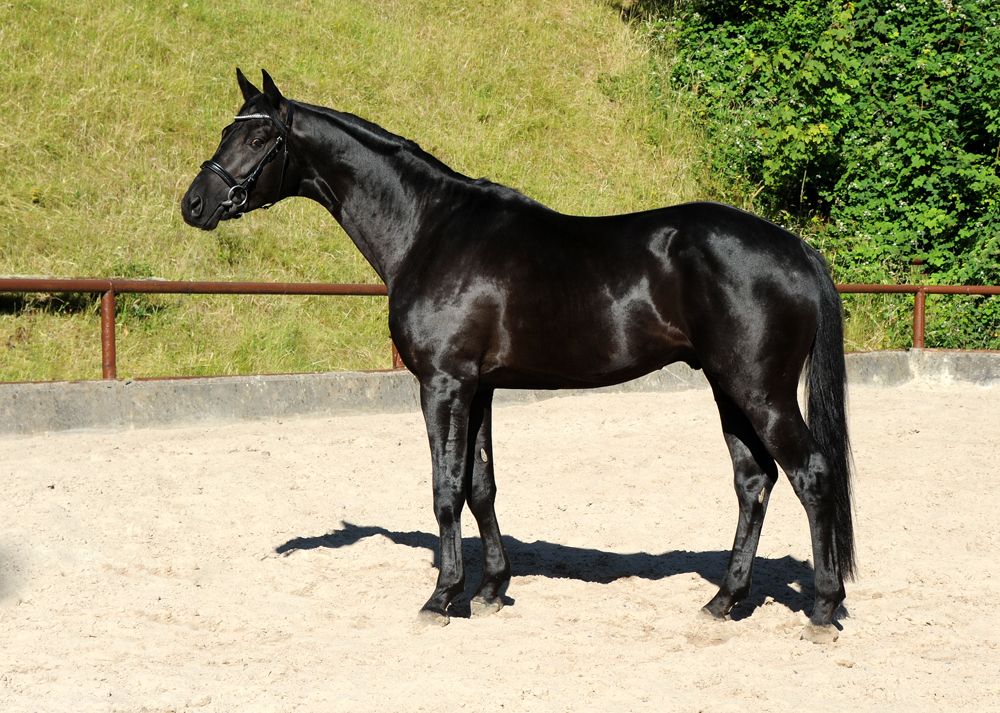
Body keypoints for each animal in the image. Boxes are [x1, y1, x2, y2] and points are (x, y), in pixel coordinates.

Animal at [180, 69, 852, 644]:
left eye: (260, 136)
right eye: (226, 131)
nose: (194, 204)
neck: (430, 229)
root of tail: (795, 248)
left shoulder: (443, 383)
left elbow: (446, 488)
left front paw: (442, 597)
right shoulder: (479, 387)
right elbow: (482, 485)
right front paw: (490, 591)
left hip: (759, 391)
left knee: (812, 474)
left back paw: (822, 609)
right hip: (727, 387)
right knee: (754, 481)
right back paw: (724, 600)